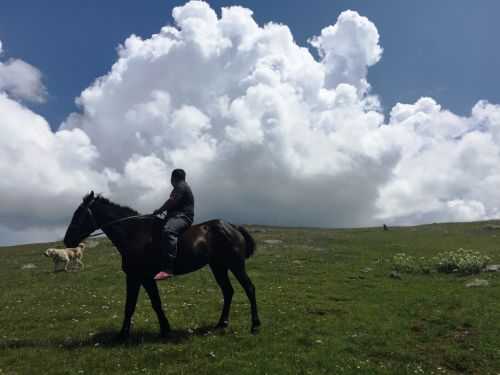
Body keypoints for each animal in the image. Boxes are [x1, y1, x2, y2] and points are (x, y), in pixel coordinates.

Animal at [63, 192, 262, 340]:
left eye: (79, 214)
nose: (67, 240)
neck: (135, 233)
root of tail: (233, 226)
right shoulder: (139, 278)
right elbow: (144, 304)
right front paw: (159, 330)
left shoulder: (140, 277)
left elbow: (142, 304)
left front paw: (128, 334)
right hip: (218, 267)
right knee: (228, 291)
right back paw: (221, 324)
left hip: (235, 265)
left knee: (249, 288)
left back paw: (255, 326)